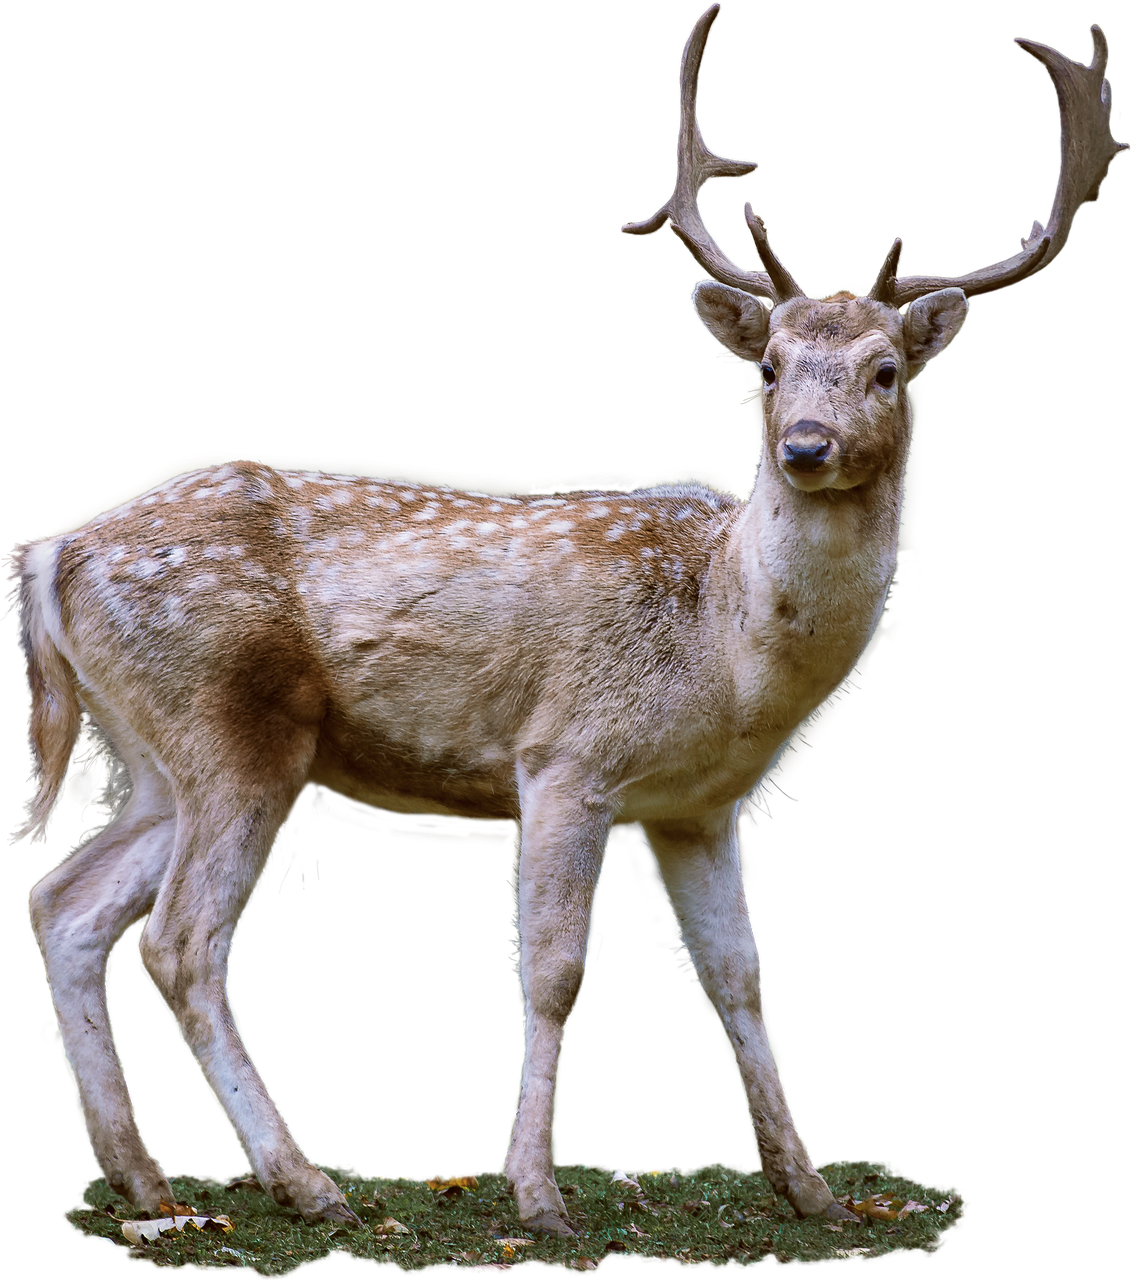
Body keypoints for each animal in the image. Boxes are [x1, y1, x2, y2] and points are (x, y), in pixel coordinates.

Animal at [10, 2, 1126, 1239]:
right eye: (767, 365)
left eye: (885, 370)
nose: (804, 444)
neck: (727, 648)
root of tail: (52, 556)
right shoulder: (565, 756)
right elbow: (554, 970)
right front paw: (536, 1191)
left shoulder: (697, 805)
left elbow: (738, 974)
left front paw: (809, 1186)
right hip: (230, 726)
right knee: (180, 940)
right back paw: (302, 1183)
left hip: (148, 752)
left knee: (64, 901)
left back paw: (142, 1177)